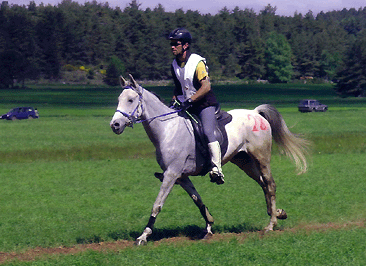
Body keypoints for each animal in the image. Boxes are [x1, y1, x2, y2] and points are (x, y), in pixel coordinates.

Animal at [110, 74, 310, 245]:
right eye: (118, 99)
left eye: (130, 100)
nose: (115, 125)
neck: (168, 129)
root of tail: (255, 112)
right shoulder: (181, 177)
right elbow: (197, 200)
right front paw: (208, 227)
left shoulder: (171, 174)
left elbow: (157, 205)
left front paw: (143, 236)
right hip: (243, 161)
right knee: (263, 184)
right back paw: (277, 213)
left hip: (261, 158)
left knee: (270, 184)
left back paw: (271, 224)